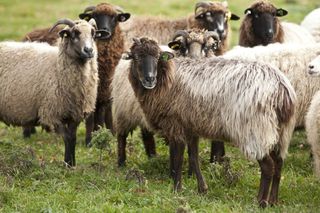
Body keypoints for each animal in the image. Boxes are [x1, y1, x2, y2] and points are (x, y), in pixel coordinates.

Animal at [0, 18, 99, 166]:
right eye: (74, 34)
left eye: (93, 33)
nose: (89, 50)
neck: (57, 67)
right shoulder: (51, 113)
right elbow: (67, 138)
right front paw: (67, 163)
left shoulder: (74, 114)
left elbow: (73, 138)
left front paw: (72, 164)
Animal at [21, 2, 131, 145]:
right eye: (95, 15)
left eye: (115, 17)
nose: (105, 30)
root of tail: (29, 34)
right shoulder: (90, 91)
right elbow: (91, 117)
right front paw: (90, 140)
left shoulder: (106, 89)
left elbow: (108, 114)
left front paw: (110, 135)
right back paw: (27, 134)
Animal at [112, 29, 220, 166]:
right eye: (183, 47)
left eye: (207, 47)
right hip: (123, 110)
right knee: (122, 136)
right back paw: (121, 163)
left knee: (146, 134)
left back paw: (152, 157)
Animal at [124, 37, 296, 207]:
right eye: (136, 57)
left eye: (158, 57)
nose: (150, 79)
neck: (166, 78)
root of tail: (281, 90)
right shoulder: (191, 127)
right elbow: (194, 158)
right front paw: (202, 189)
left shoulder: (176, 126)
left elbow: (178, 159)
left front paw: (176, 189)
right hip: (280, 132)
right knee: (278, 163)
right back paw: (273, 201)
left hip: (255, 131)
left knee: (268, 166)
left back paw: (261, 202)